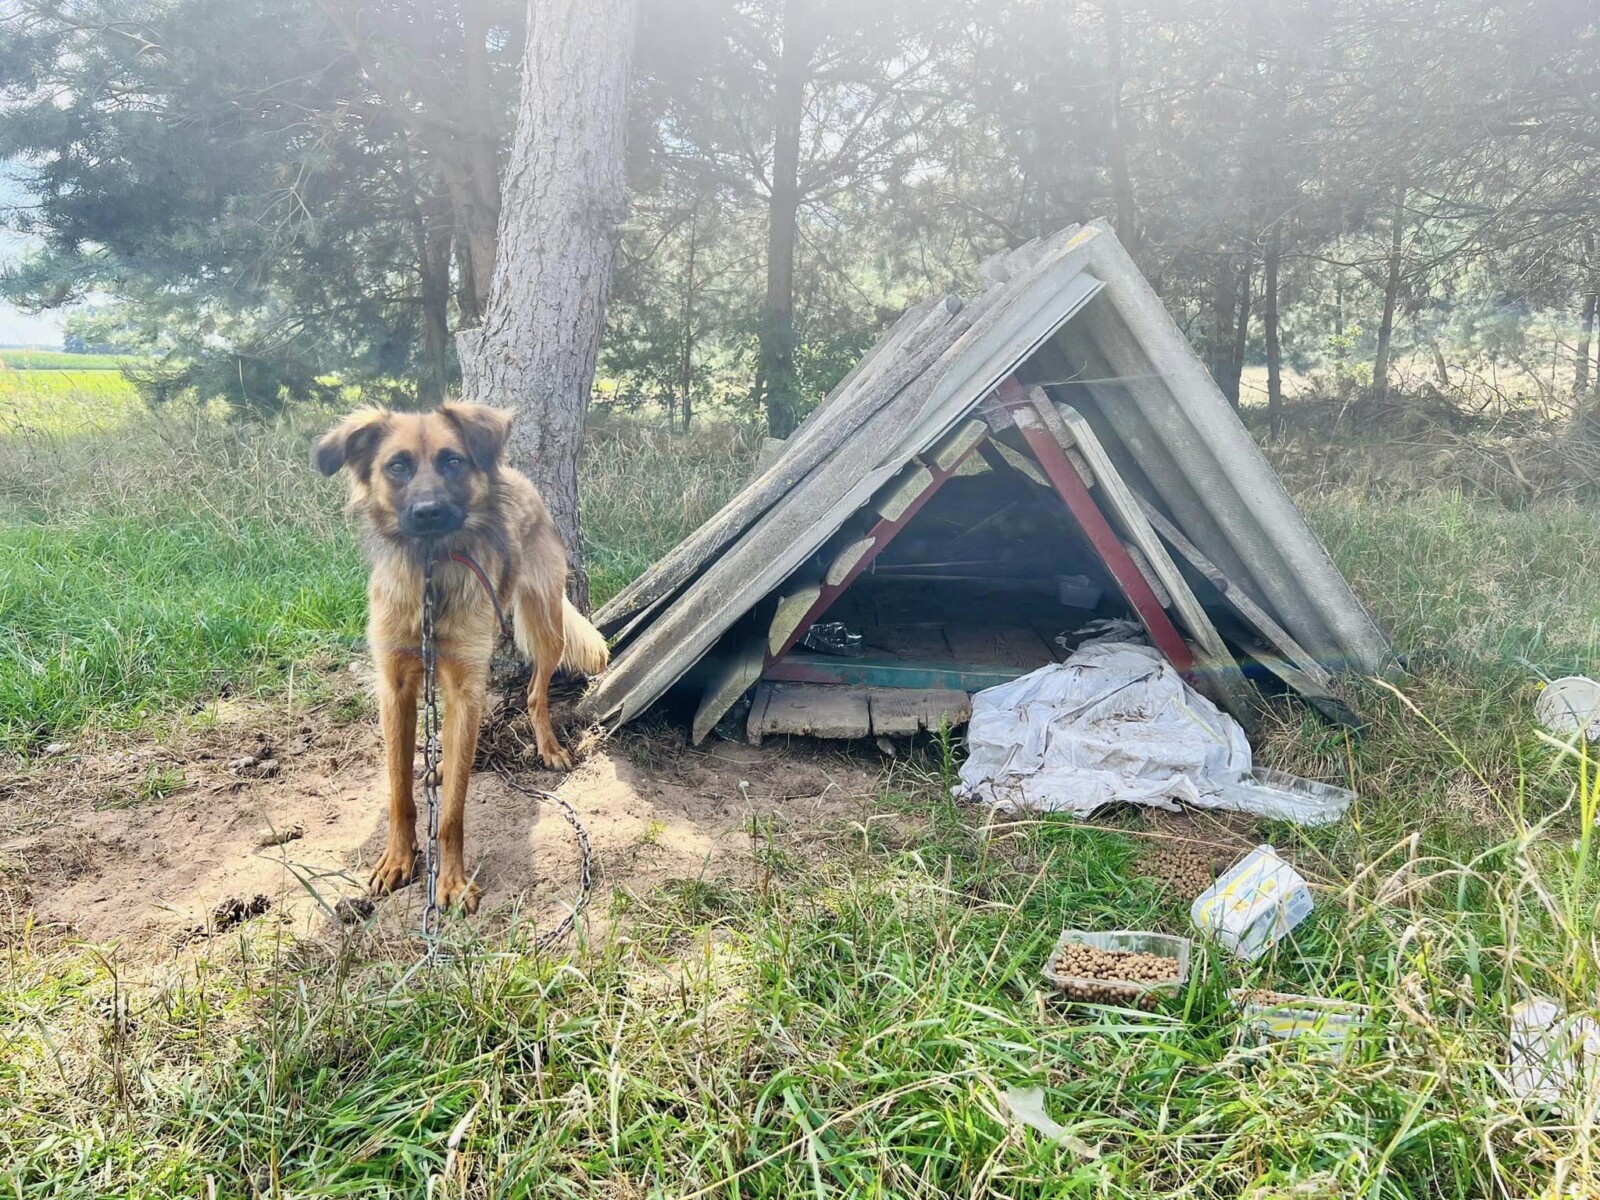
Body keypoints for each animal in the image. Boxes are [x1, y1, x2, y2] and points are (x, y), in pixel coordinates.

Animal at [312, 404, 604, 908]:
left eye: (453, 461)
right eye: (397, 466)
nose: (429, 512)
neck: (431, 577)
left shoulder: (466, 682)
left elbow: (451, 811)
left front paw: (450, 880)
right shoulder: (396, 689)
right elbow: (399, 792)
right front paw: (397, 859)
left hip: (546, 625)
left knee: (535, 694)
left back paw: (547, 747)